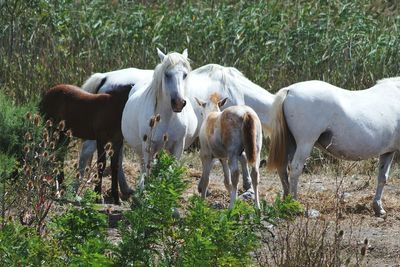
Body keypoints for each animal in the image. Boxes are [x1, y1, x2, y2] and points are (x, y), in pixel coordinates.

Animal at [121, 49, 198, 188]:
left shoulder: (178, 146)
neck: (167, 118)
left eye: (185, 75)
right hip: (142, 148)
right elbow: (147, 169)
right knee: (143, 166)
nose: (178, 103)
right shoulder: (148, 145)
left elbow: (170, 169)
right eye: (167, 74)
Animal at [268, 78, 400, 217]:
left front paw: (378, 208)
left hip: (291, 143)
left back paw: (286, 202)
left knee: (283, 169)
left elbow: (382, 177)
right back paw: (295, 205)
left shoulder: (388, 152)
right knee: (295, 169)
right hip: (305, 143)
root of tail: (289, 90)